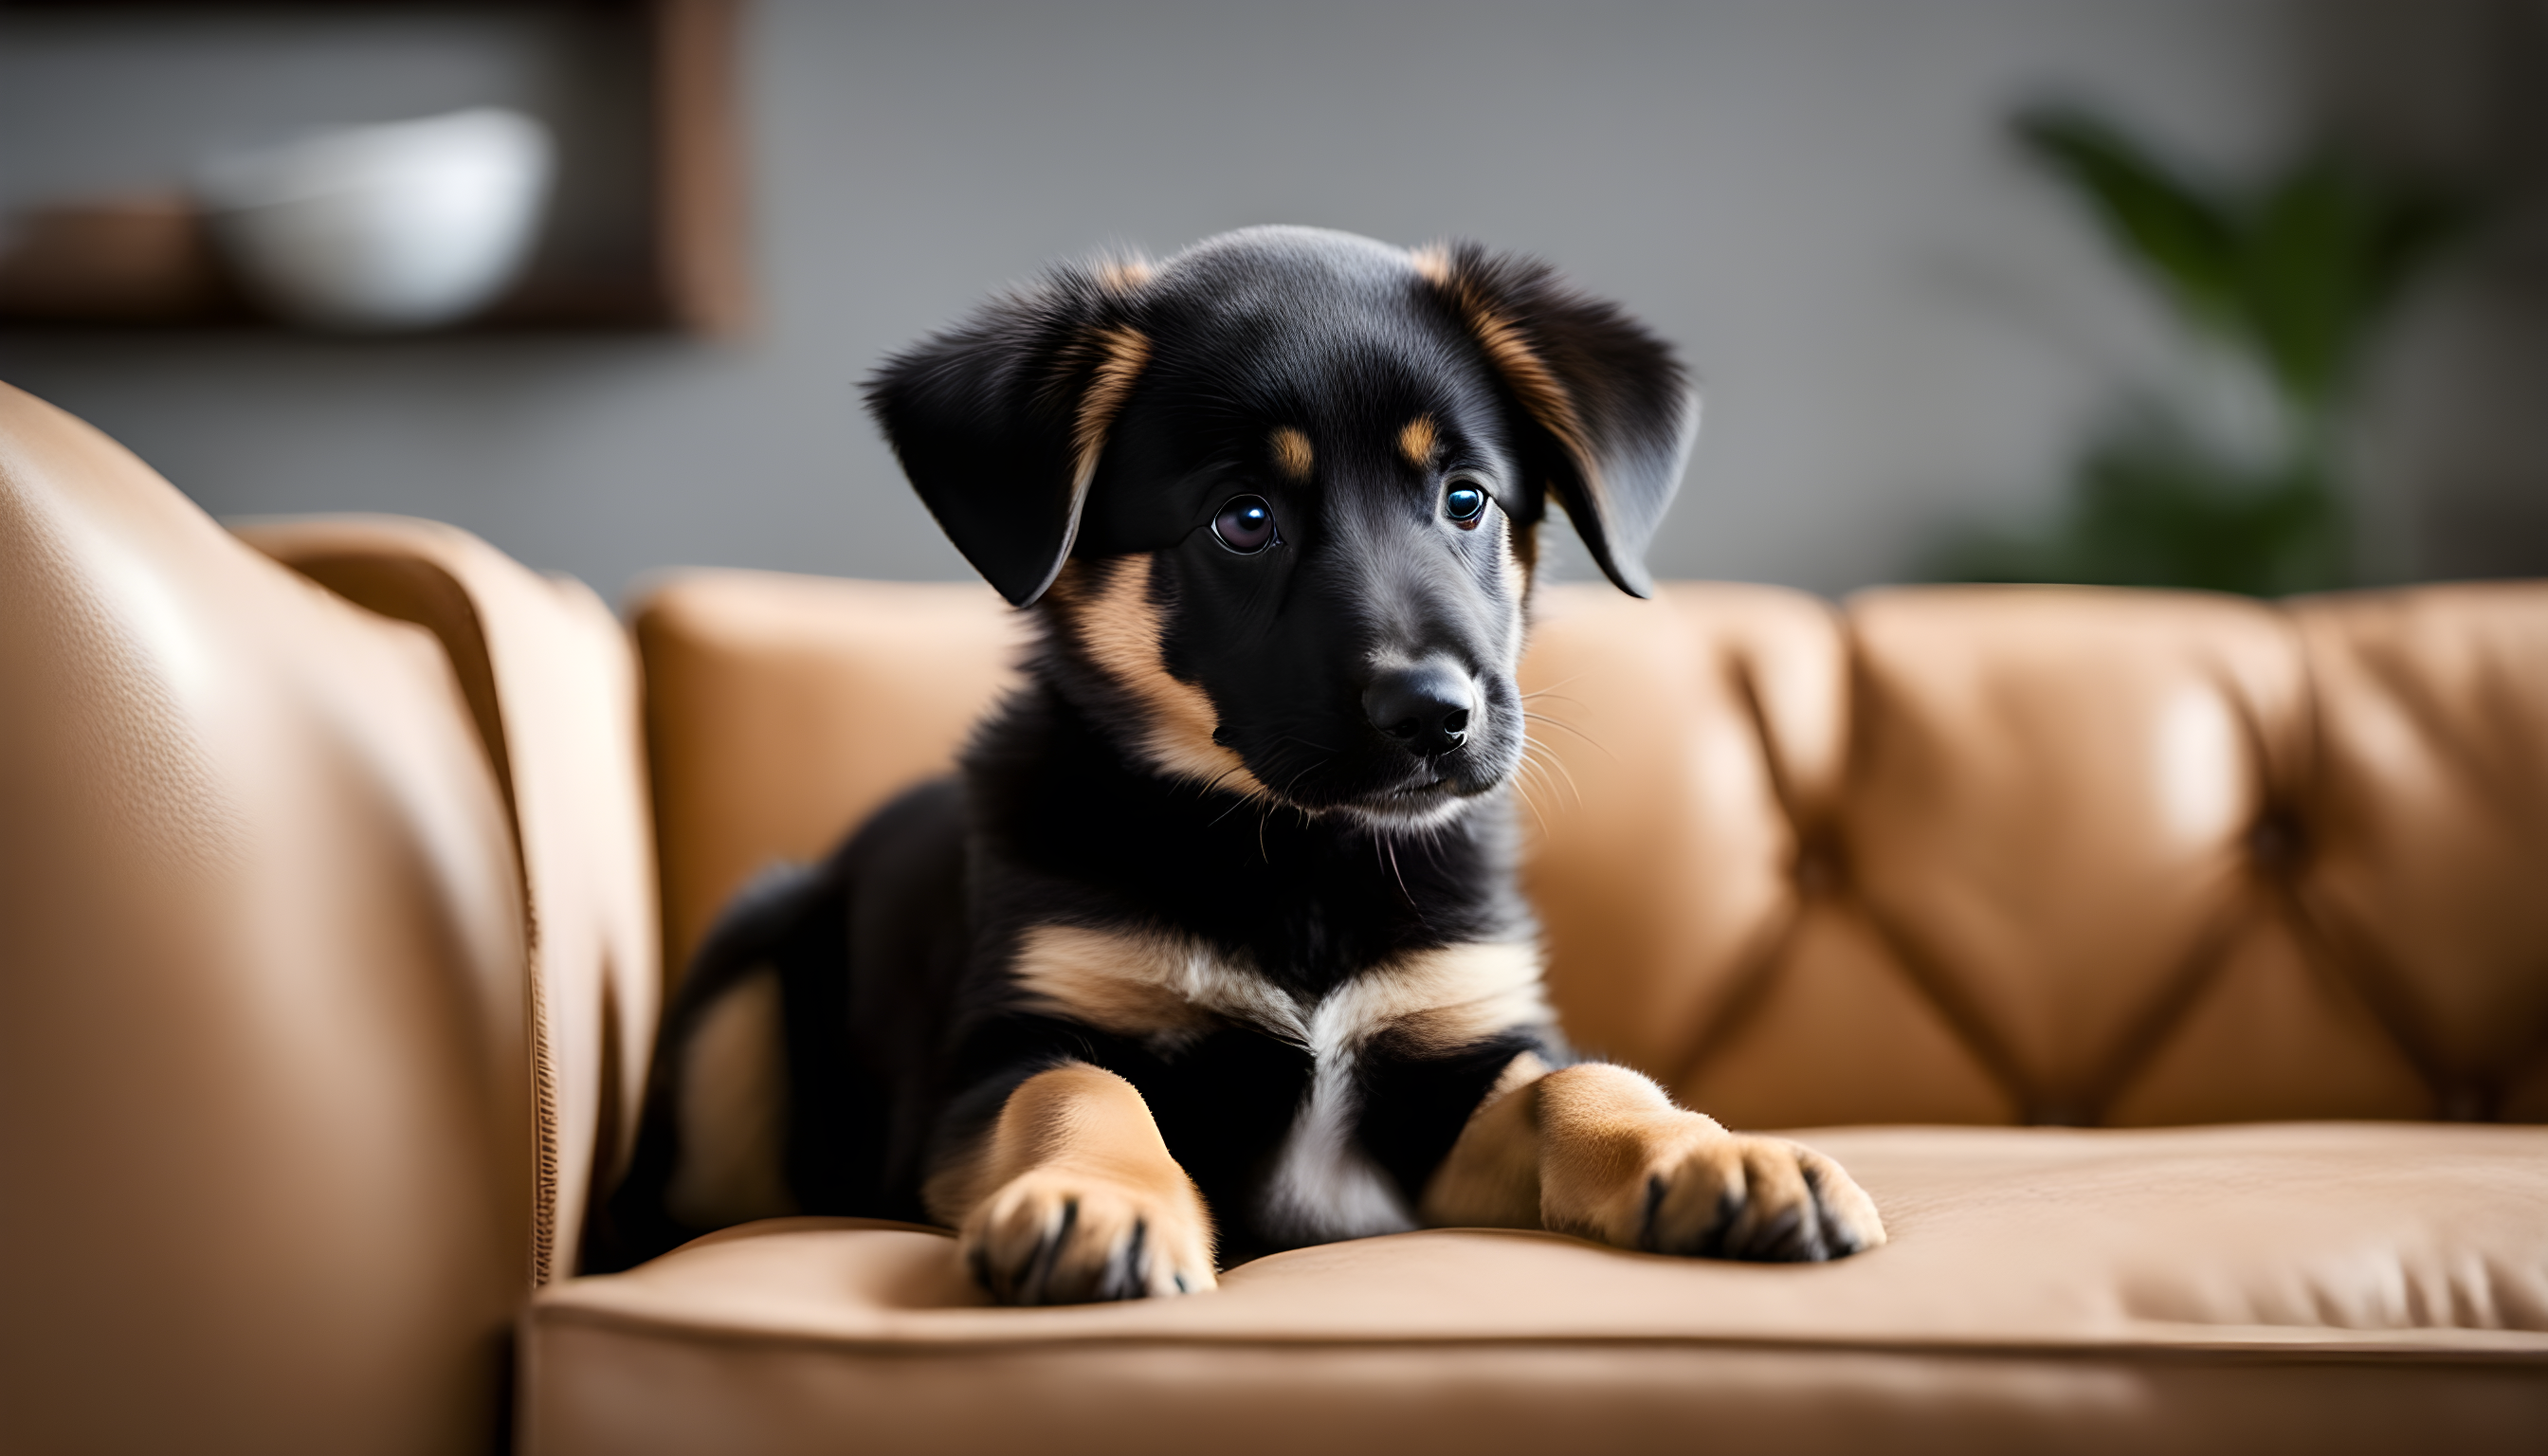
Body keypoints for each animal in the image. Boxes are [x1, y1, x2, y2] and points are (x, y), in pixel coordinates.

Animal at [586, 226, 1885, 1300]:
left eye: (1465, 498)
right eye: (1244, 520)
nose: (1435, 716)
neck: (1299, 860)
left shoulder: (1449, 1069)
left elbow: (1585, 1082)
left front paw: (1715, 1155)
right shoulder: (996, 1063)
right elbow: (1079, 1086)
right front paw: (1095, 1199)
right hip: (746, 968)